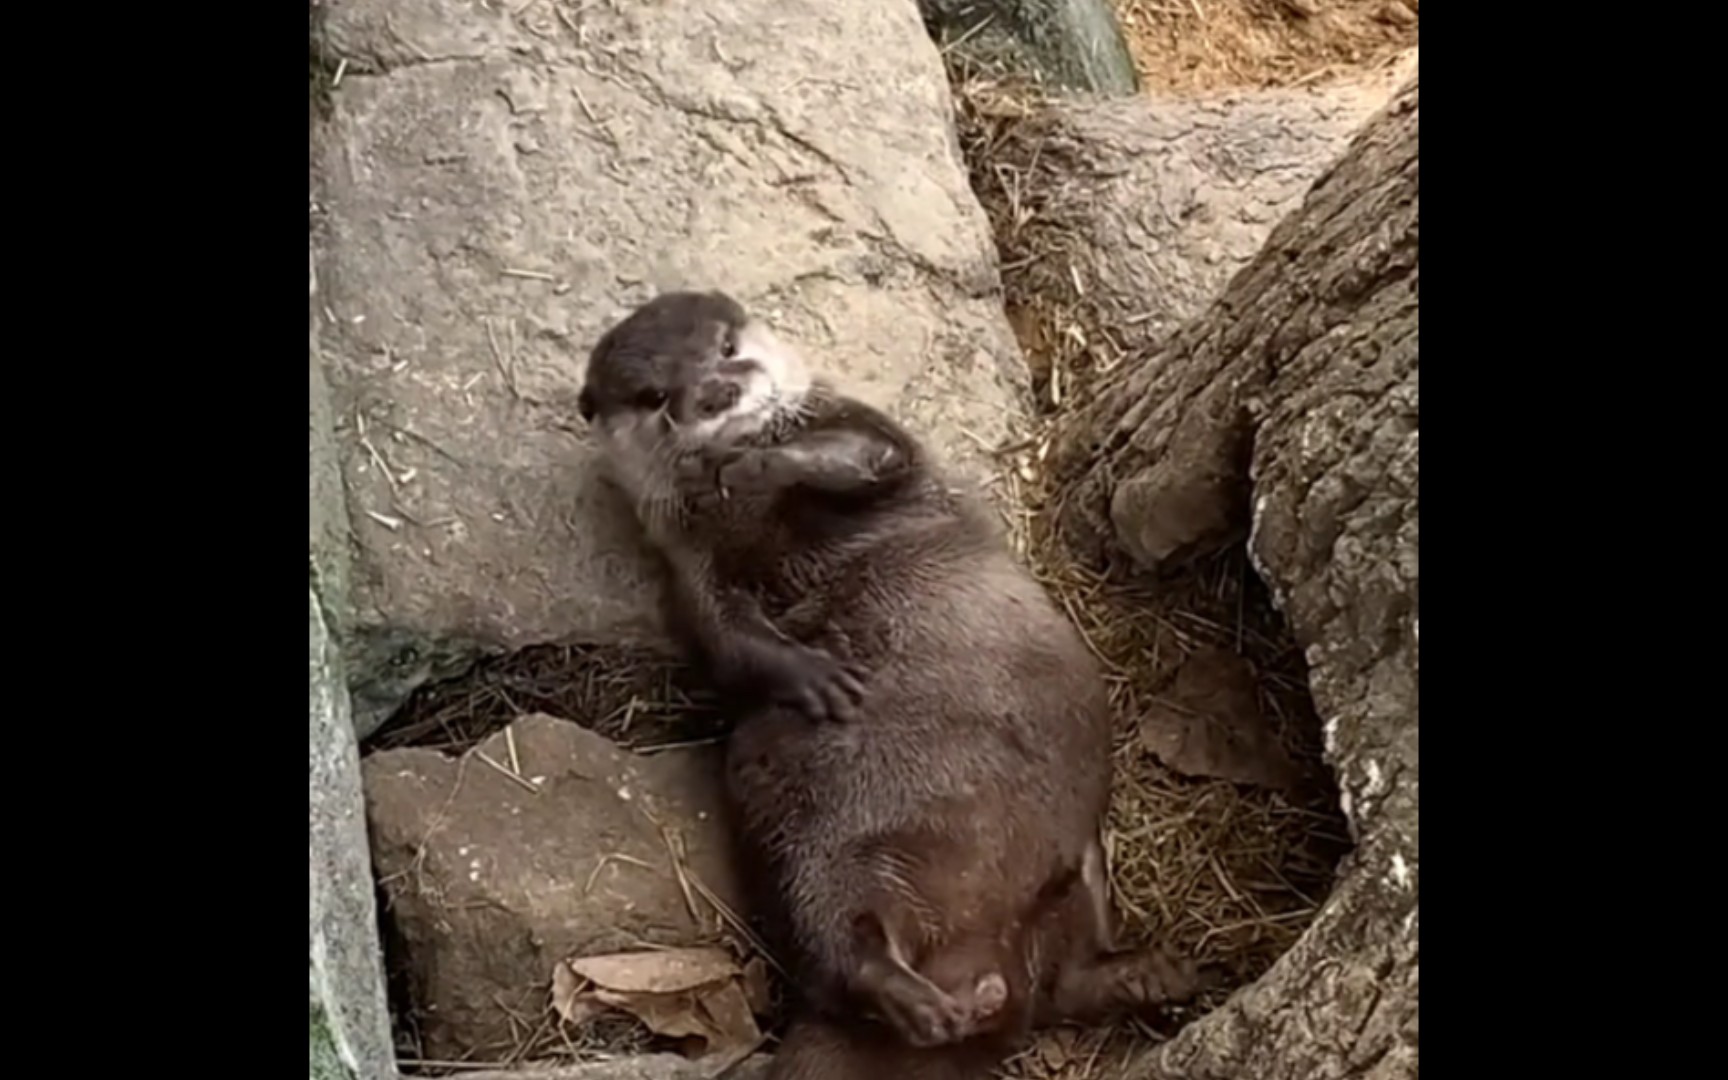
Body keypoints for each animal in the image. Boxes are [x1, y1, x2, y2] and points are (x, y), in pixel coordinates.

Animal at [577, 288, 1202, 1071]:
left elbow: (874, 457)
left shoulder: (869, 432)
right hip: (812, 858)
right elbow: (723, 639)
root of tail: (976, 972)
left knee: (1066, 979)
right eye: (654, 395)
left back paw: (1151, 974)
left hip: (1078, 870)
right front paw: (815, 675)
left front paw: (761, 461)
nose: (717, 393)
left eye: (725, 348)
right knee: (845, 943)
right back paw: (915, 999)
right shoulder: (684, 561)